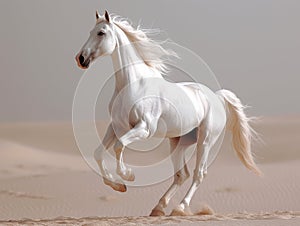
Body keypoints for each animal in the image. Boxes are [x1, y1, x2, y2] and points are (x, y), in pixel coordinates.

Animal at [76, 10, 262, 215]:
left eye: (101, 32)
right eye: (90, 32)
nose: (80, 59)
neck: (134, 84)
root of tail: (216, 97)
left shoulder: (144, 128)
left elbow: (119, 146)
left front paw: (128, 175)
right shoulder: (117, 126)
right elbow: (98, 153)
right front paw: (118, 185)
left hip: (205, 141)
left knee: (198, 174)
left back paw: (180, 207)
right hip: (178, 142)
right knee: (182, 175)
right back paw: (159, 207)